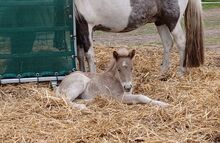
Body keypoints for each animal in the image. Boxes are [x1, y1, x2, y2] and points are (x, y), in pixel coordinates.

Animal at [75, 0, 204, 75]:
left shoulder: (86, 26)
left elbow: (89, 55)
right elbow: (80, 55)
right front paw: (81, 73)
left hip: (172, 21)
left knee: (181, 42)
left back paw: (180, 72)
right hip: (160, 21)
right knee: (167, 43)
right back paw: (163, 72)